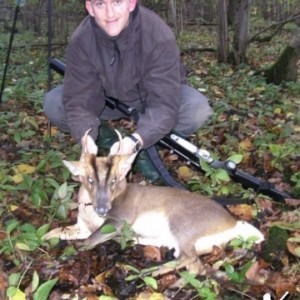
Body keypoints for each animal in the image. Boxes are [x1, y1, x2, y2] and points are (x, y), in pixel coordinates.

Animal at [43, 129, 264, 274]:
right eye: (89, 179)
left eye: (113, 180)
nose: (103, 209)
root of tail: (233, 223)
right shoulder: (82, 226)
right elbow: (55, 231)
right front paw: (42, 241)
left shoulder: (119, 219)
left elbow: (88, 242)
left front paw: (59, 259)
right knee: (192, 264)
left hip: (182, 225)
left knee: (194, 263)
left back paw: (148, 273)